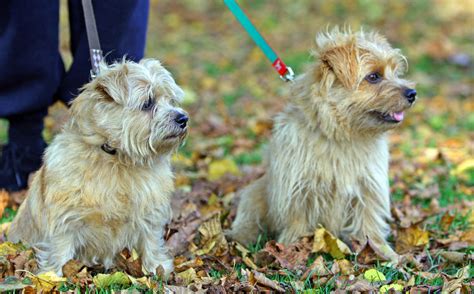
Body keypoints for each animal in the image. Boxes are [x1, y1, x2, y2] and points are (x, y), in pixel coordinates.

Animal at [8, 58, 188, 276]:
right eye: (148, 103)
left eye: (171, 101)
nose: (183, 118)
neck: (116, 158)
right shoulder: (65, 221)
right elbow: (60, 250)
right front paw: (54, 276)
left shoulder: (149, 213)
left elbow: (150, 241)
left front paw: (156, 268)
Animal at [228, 28, 416, 256]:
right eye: (373, 77)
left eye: (395, 72)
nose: (412, 93)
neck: (341, 136)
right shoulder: (298, 190)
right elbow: (297, 222)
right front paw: (291, 248)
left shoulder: (368, 188)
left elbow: (368, 224)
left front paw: (384, 253)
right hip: (254, 193)